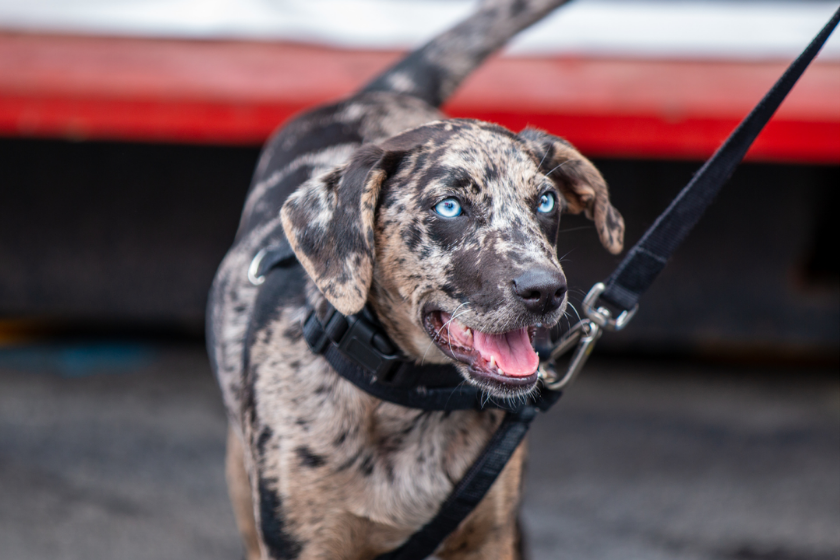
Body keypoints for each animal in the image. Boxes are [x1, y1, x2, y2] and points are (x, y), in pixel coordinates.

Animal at [205, 2, 624, 556]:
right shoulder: (302, 538)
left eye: (546, 201)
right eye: (449, 207)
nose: (546, 291)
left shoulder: (490, 534)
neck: (411, 402)